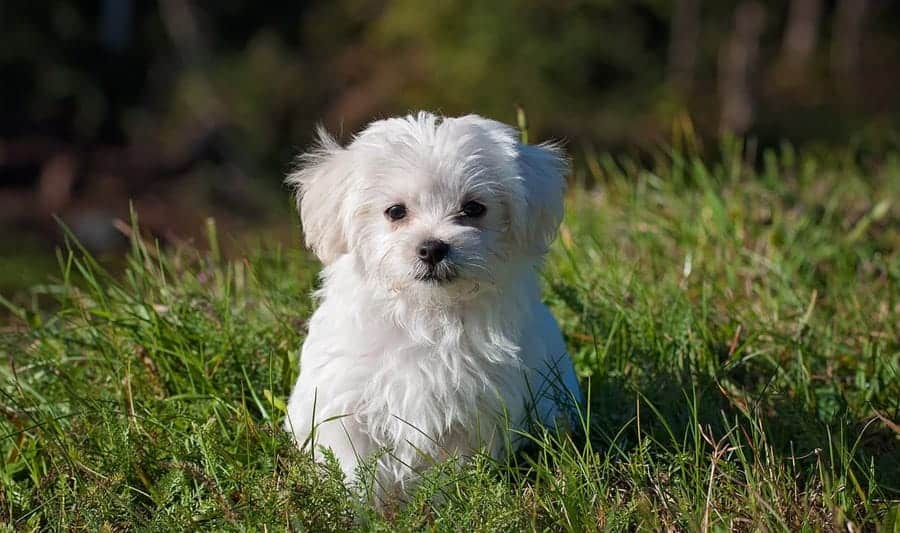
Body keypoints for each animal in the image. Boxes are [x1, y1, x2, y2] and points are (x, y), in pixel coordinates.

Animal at [286, 111, 584, 498]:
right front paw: (360, 506)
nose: (431, 248)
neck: (426, 314)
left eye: (473, 208)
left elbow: (451, 469)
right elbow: (354, 467)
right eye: (395, 212)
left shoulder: (472, 411)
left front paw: (446, 500)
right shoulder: (345, 403)